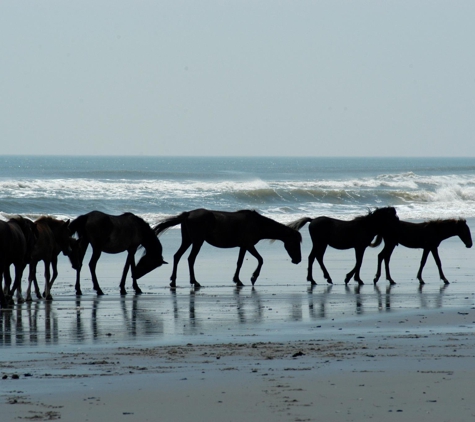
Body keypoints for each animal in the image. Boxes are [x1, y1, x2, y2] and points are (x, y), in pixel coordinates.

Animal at [153, 209, 302, 288]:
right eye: (295, 242)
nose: (298, 260)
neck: (257, 224)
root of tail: (188, 214)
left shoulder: (243, 246)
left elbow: (239, 262)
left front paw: (238, 280)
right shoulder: (249, 245)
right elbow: (260, 259)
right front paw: (253, 277)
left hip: (188, 241)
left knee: (177, 256)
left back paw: (173, 281)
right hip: (197, 242)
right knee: (191, 259)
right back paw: (194, 282)